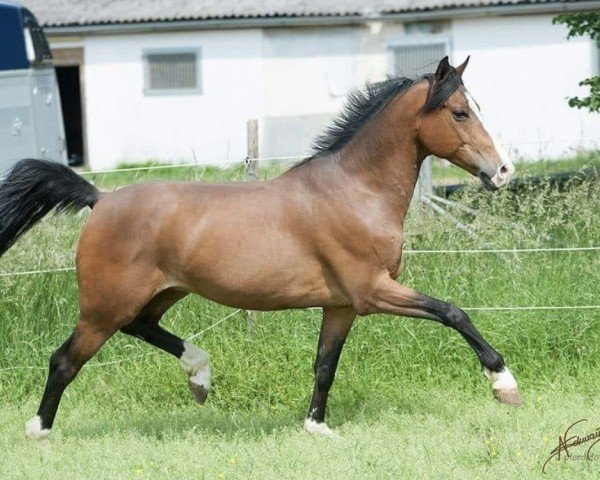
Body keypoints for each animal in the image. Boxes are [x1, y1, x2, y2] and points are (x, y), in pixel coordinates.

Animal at [0, 56, 520, 438]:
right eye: (460, 112)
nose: (502, 171)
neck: (354, 191)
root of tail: (100, 199)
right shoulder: (373, 291)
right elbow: (453, 312)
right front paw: (504, 384)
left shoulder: (341, 305)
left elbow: (324, 365)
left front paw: (316, 428)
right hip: (104, 306)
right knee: (65, 360)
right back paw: (39, 430)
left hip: (159, 293)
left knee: (141, 327)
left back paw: (200, 376)